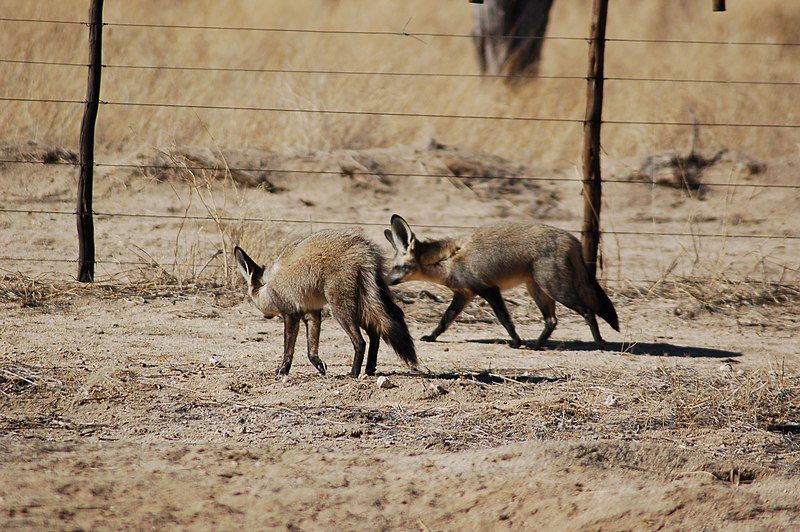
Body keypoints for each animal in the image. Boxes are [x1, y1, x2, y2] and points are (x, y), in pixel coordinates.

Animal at [233, 229, 416, 378]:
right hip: (363, 306)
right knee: (375, 333)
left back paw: (353, 373)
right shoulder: (312, 313)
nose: (266, 317)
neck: (270, 285)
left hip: (341, 310)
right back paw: (369, 370)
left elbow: (288, 350)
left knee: (360, 342)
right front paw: (320, 366)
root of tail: (364, 248)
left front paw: (283, 370)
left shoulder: (291, 315)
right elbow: (311, 351)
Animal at [384, 214, 620, 352]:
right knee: (552, 320)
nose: (386, 282)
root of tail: (572, 239)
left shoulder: (489, 290)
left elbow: (505, 320)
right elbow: (445, 320)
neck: (448, 259)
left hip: (555, 289)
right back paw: (536, 345)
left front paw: (516, 341)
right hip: (538, 290)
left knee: (588, 311)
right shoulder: (464, 294)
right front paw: (432, 337)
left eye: (397, 267)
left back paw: (599, 343)